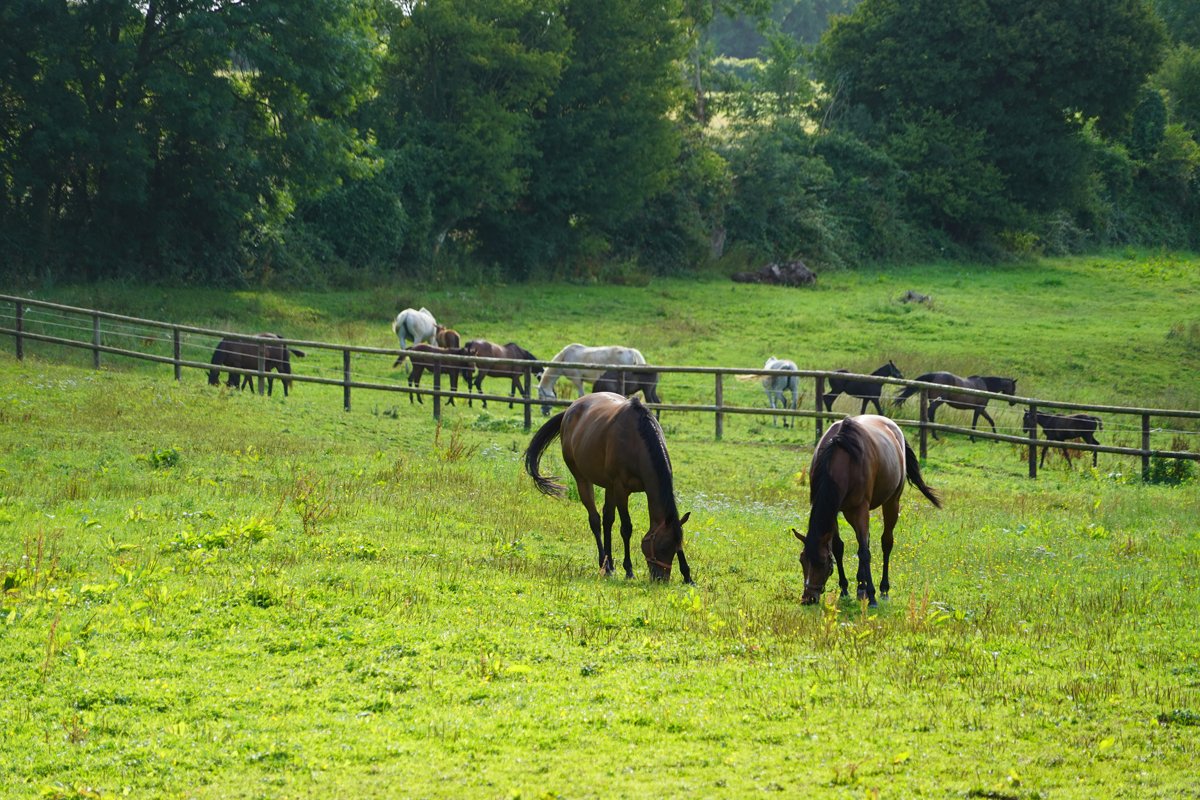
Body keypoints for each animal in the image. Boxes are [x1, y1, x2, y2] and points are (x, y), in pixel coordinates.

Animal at [525, 392, 693, 583]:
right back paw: (604, 564)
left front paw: (688, 576)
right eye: (663, 546)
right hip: (584, 480)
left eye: (676, 546)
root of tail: (570, 409)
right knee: (595, 520)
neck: (637, 441)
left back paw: (610, 565)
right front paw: (629, 570)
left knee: (607, 519)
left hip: (609, 487)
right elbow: (626, 528)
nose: (661, 579)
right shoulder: (621, 489)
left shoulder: (616, 488)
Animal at [793, 415, 941, 606]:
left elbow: (864, 553)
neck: (841, 457)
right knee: (866, 540)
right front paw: (845, 590)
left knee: (886, 542)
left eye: (822, 563)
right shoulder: (835, 510)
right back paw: (860, 587)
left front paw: (872, 596)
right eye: (802, 560)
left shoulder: (860, 509)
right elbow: (839, 547)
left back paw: (883, 590)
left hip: (891, 503)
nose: (808, 599)